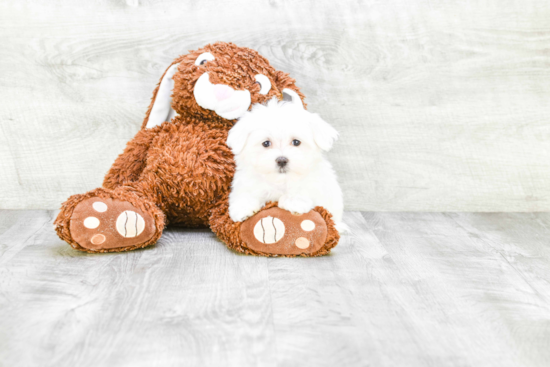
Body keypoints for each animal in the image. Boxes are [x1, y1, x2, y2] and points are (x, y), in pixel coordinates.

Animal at [226, 96, 348, 231]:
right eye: (266, 143)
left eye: (296, 142)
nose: (282, 160)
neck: (281, 180)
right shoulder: (247, 181)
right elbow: (246, 192)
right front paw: (242, 208)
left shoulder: (316, 182)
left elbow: (303, 188)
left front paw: (294, 201)